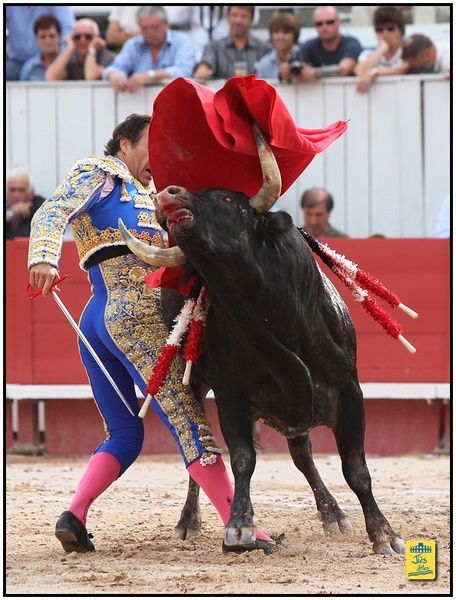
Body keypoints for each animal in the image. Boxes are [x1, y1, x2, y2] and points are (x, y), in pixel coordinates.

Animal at [118, 124, 406, 556]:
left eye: (225, 197)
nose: (167, 193)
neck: (265, 313)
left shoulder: (349, 391)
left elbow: (356, 468)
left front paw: (384, 535)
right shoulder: (231, 394)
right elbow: (241, 458)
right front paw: (239, 528)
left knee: (301, 454)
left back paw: (333, 515)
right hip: (194, 385)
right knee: (203, 452)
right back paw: (187, 523)